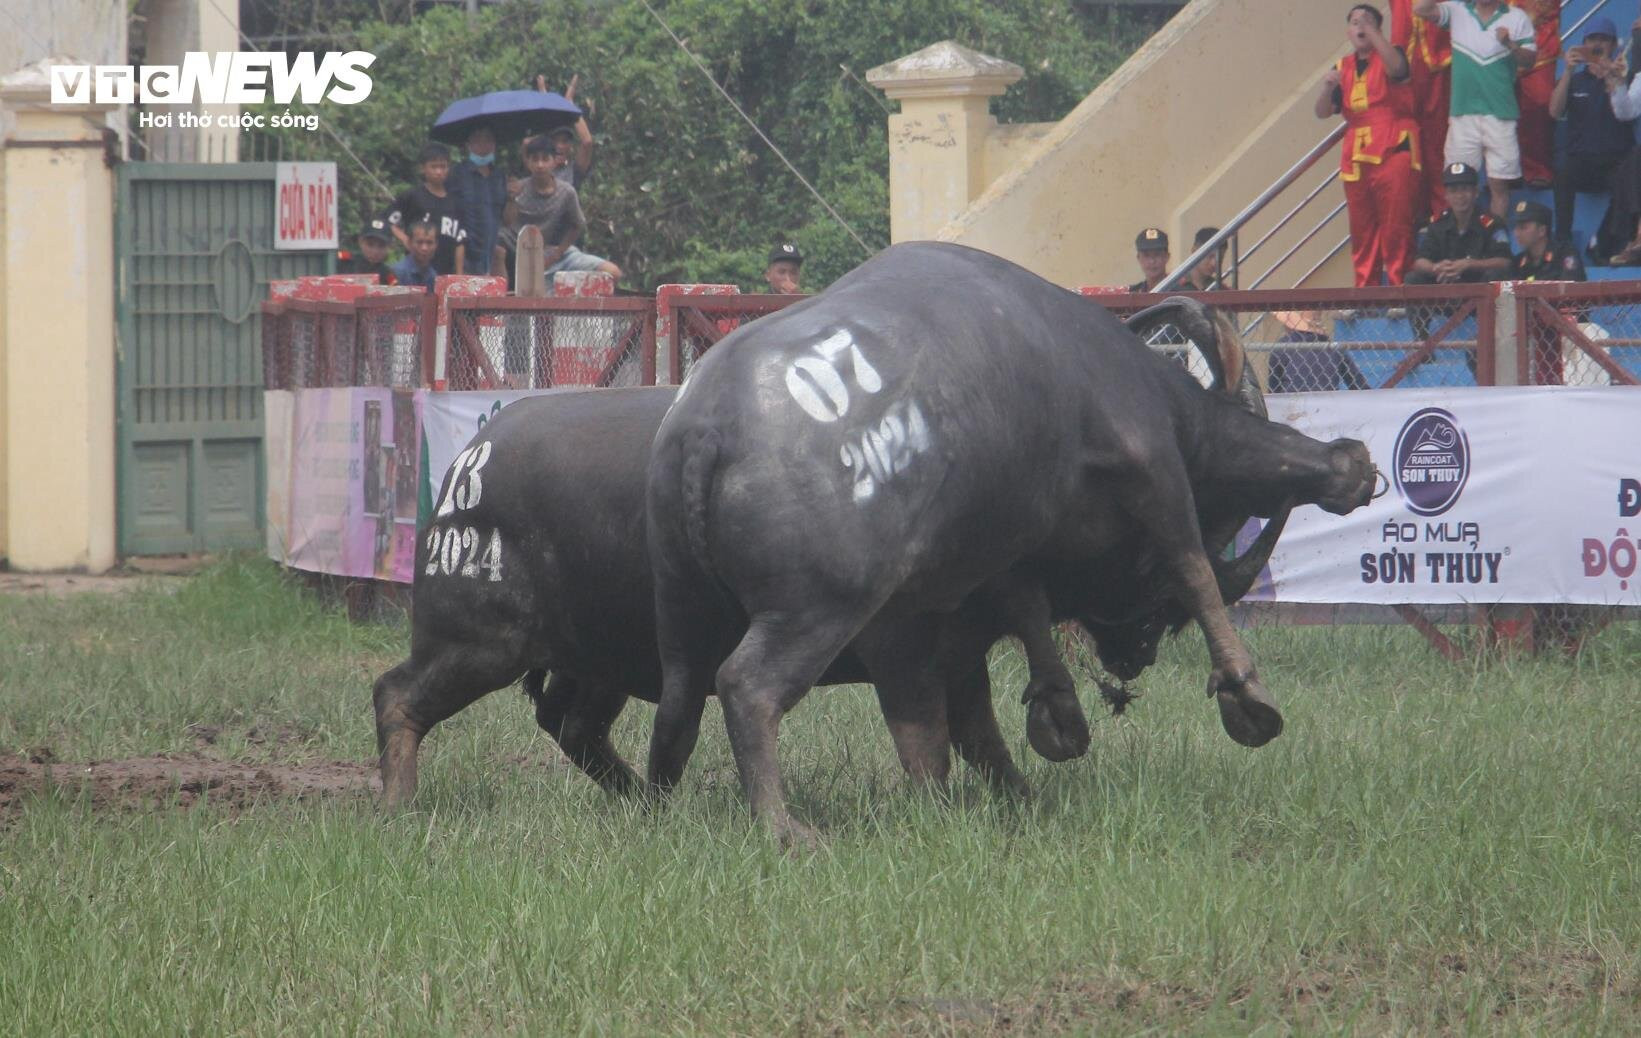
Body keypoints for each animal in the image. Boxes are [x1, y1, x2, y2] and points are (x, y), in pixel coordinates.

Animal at [646, 241, 1378, 839]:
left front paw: (1056, 716)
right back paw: (783, 829)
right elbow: (1191, 568)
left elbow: (1022, 618)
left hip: (687, 620)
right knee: (747, 687)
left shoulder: (1008, 540)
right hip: (817, 609)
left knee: (684, 697)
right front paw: (1245, 696)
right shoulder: (1154, 471)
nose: (1353, 462)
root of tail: (705, 427)